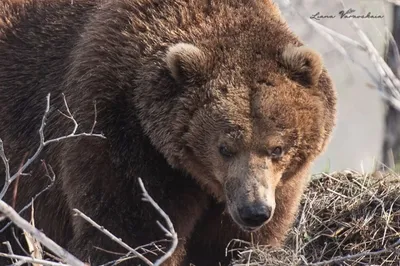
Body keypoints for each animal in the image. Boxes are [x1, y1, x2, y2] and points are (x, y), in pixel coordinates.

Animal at [0, 0, 338, 264]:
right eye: (224, 147)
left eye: (277, 148)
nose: (253, 210)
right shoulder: (120, 130)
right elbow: (128, 230)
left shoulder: (277, 186)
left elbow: (233, 243)